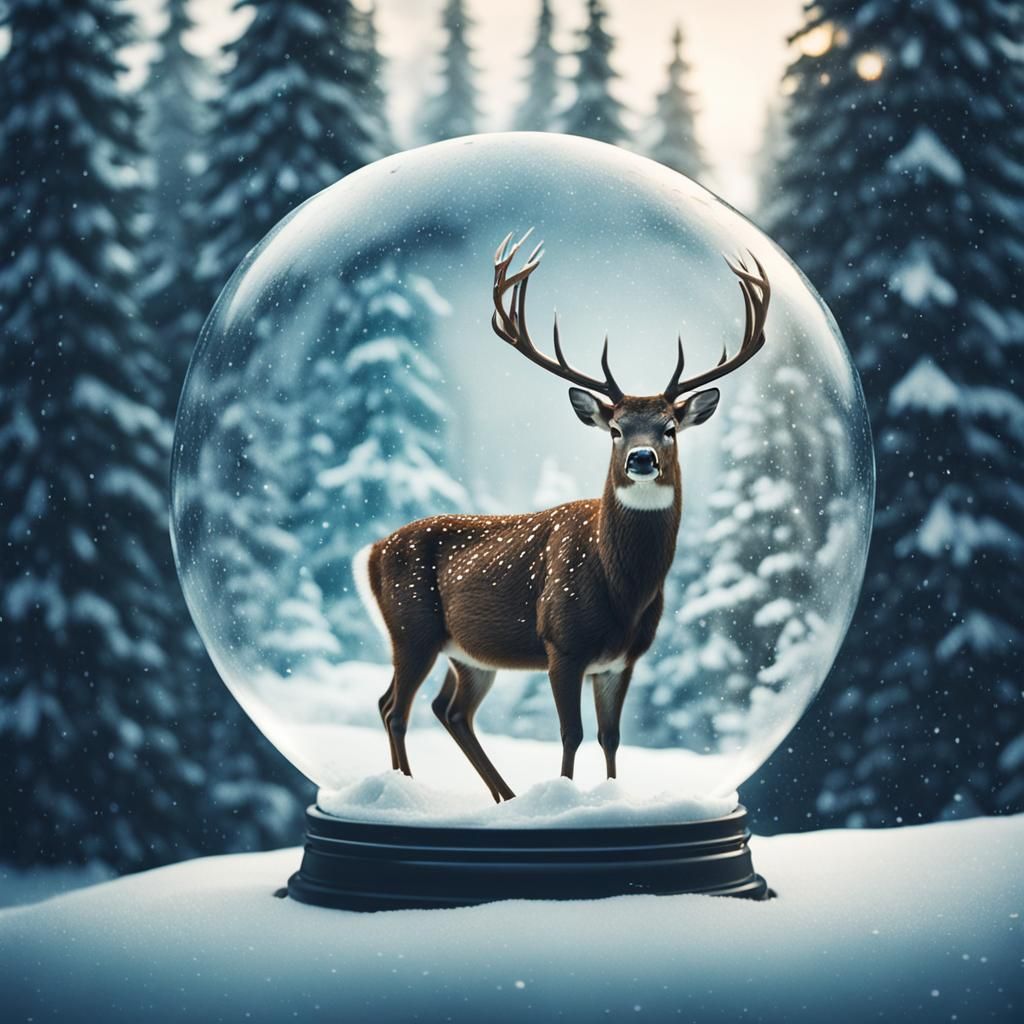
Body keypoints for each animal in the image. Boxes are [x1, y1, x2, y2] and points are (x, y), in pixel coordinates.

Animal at [352, 230, 770, 802]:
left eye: (670, 428)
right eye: (615, 429)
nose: (642, 458)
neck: (622, 590)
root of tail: (372, 551)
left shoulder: (621, 660)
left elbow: (611, 737)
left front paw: (612, 801)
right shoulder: (561, 642)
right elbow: (570, 734)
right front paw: (563, 799)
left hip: (469, 653)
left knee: (448, 710)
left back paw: (504, 798)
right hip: (411, 626)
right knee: (396, 707)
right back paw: (408, 794)